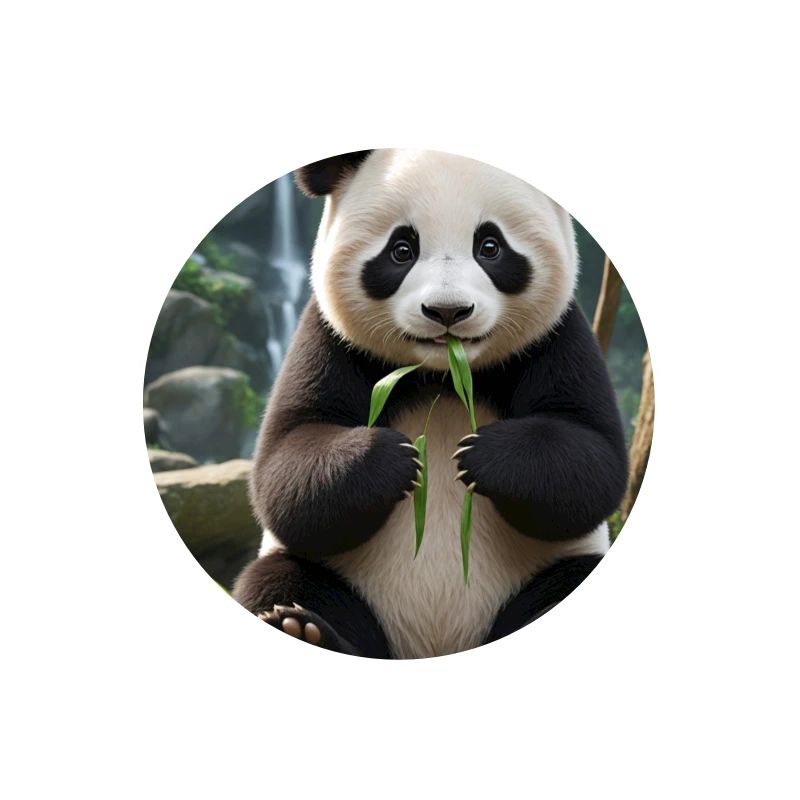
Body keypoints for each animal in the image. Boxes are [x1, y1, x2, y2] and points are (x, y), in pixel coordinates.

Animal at [233, 148, 628, 659]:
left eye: (490, 247)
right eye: (402, 250)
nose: (447, 311)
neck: (444, 374)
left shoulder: (558, 337)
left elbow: (591, 460)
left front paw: (481, 455)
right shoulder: (328, 338)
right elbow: (286, 467)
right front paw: (395, 457)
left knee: (569, 579)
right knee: (282, 577)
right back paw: (304, 628)